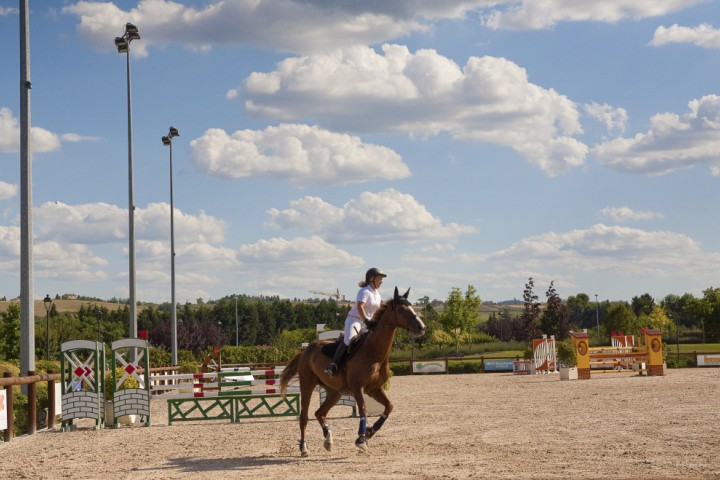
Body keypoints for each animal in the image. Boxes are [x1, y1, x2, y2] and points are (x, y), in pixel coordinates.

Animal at [280, 286, 428, 456]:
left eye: (412, 307)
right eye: (401, 310)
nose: (422, 327)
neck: (374, 353)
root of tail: (306, 350)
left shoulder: (374, 389)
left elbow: (389, 407)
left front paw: (369, 432)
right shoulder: (358, 388)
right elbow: (363, 409)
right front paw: (361, 440)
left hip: (334, 392)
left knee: (320, 413)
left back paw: (328, 439)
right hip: (307, 386)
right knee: (304, 417)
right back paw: (304, 447)